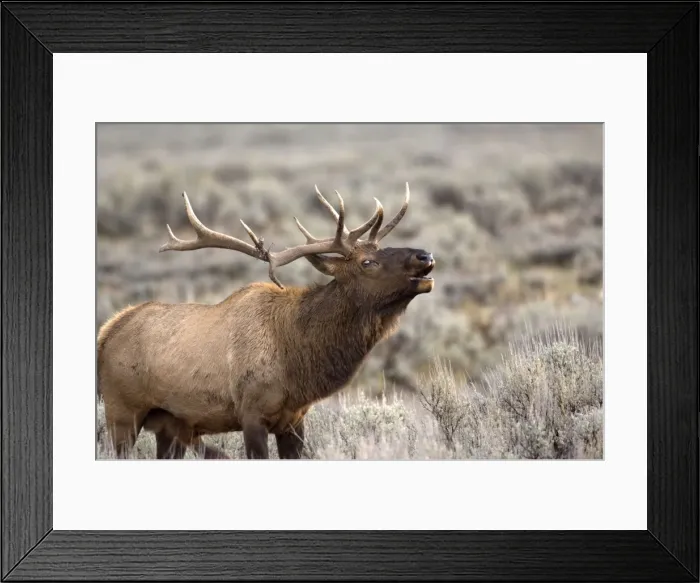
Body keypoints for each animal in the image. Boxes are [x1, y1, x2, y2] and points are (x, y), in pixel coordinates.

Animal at [97, 182, 435, 459]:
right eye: (368, 262)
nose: (425, 256)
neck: (298, 359)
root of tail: (107, 330)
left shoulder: (295, 419)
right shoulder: (252, 413)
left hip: (171, 423)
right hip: (121, 411)